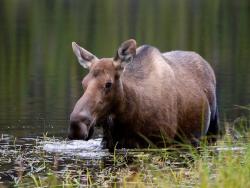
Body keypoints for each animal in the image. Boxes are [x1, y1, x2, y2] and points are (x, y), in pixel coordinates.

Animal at [67, 39, 220, 150]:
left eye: (108, 84)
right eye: (83, 83)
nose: (76, 125)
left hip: (211, 129)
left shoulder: (161, 142)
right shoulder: (109, 143)